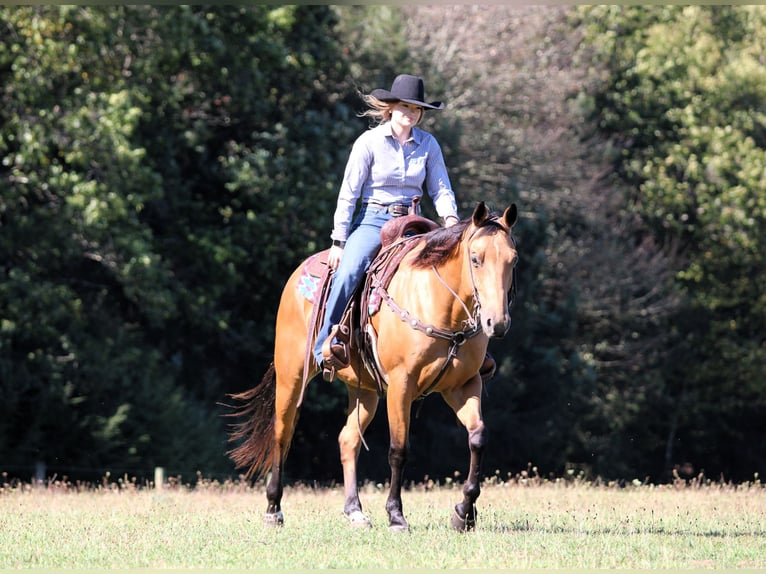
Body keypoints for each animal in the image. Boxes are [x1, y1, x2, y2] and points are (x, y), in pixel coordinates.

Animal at [227, 201, 518, 532]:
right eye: (475, 258)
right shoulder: (401, 385)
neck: (440, 306)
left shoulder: (464, 385)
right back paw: (273, 509)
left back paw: (355, 511)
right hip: (292, 375)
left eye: (513, 260)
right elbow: (399, 449)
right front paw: (396, 515)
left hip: (362, 389)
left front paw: (464, 512)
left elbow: (478, 437)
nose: (497, 322)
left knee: (348, 440)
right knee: (282, 433)